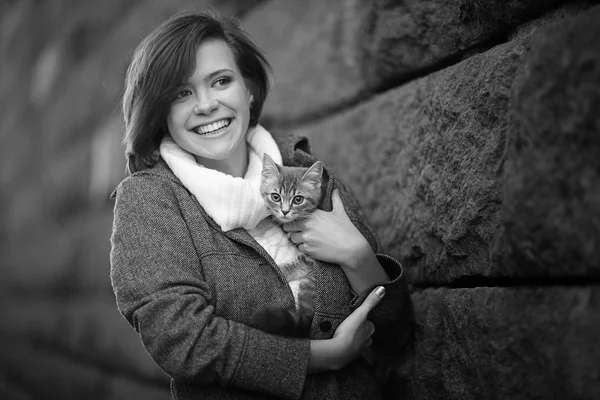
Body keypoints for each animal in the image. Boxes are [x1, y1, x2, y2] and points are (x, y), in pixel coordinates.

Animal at [251, 155, 326, 336]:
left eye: (298, 199)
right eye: (275, 197)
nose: (285, 211)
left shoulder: (310, 257)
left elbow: (296, 264)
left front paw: (281, 270)